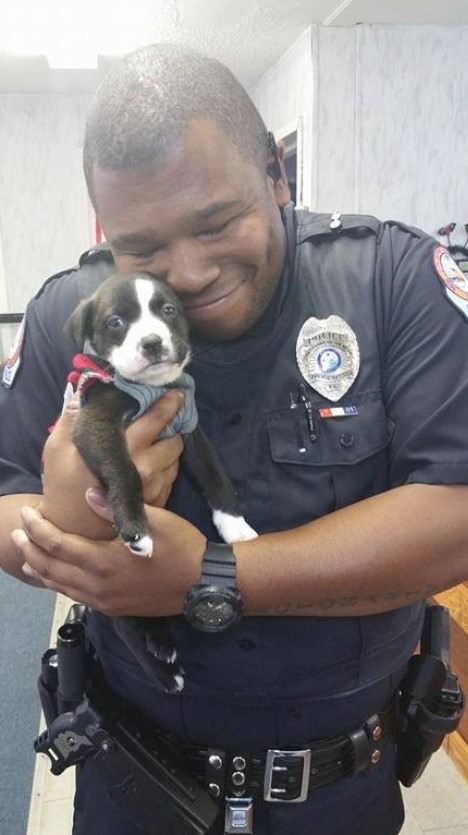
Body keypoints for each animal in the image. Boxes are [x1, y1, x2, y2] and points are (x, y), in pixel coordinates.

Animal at [64, 272, 256, 692]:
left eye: (168, 310)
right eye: (116, 322)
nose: (152, 342)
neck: (152, 388)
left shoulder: (189, 427)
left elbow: (215, 476)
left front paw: (236, 527)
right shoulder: (96, 425)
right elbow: (125, 470)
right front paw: (136, 527)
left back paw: (162, 642)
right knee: (124, 626)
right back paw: (163, 673)